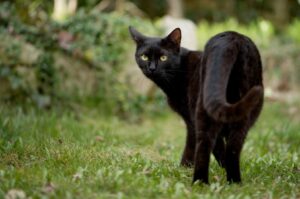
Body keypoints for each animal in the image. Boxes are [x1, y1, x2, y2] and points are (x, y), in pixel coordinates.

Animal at [128, 26, 262, 183]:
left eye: (163, 58)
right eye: (144, 57)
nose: (152, 68)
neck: (179, 70)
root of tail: (233, 37)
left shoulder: (190, 120)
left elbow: (192, 147)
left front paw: (183, 168)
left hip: (203, 108)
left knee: (205, 144)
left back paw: (200, 182)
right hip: (245, 109)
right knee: (234, 147)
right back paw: (234, 182)